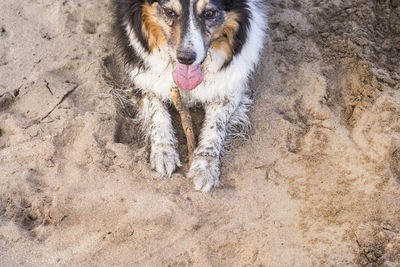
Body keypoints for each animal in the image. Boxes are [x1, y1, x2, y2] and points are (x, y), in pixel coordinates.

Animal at [112, 0, 268, 193]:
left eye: (209, 13)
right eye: (169, 12)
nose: (186, 58)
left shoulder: (230, 86)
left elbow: (215, 127)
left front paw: (205, 166)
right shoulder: (140, 72)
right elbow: (158, 114)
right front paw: (164, 152)